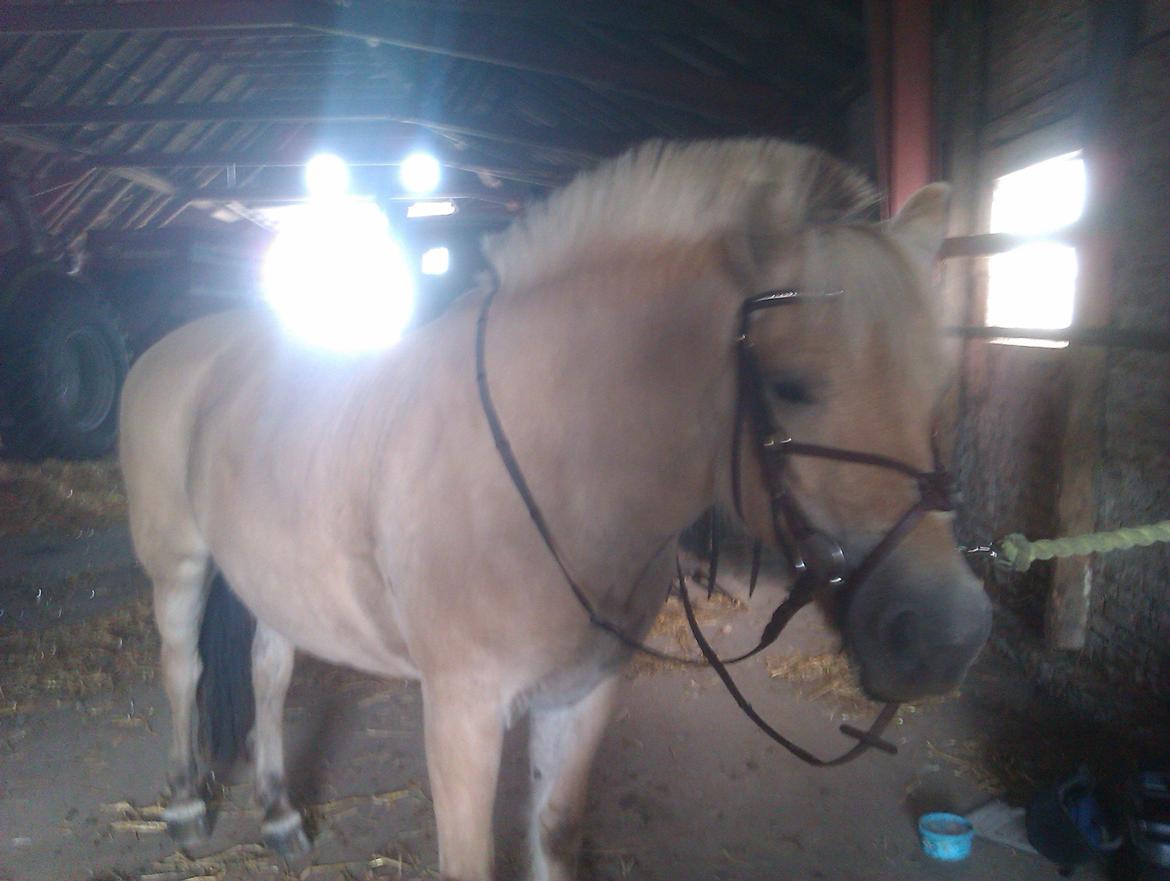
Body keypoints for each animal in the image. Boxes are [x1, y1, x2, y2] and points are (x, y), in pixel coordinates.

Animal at [119, 138, 992, 881]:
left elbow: (554, 829)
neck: (552, 474)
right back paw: (187, 801)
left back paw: (276, 812)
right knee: (182, 667)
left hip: (280, 578)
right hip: (178, 565)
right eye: (791, 385)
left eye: (937, 385)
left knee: (268, 669)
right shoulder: (461, 715)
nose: (945, 636)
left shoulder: (583, 694)